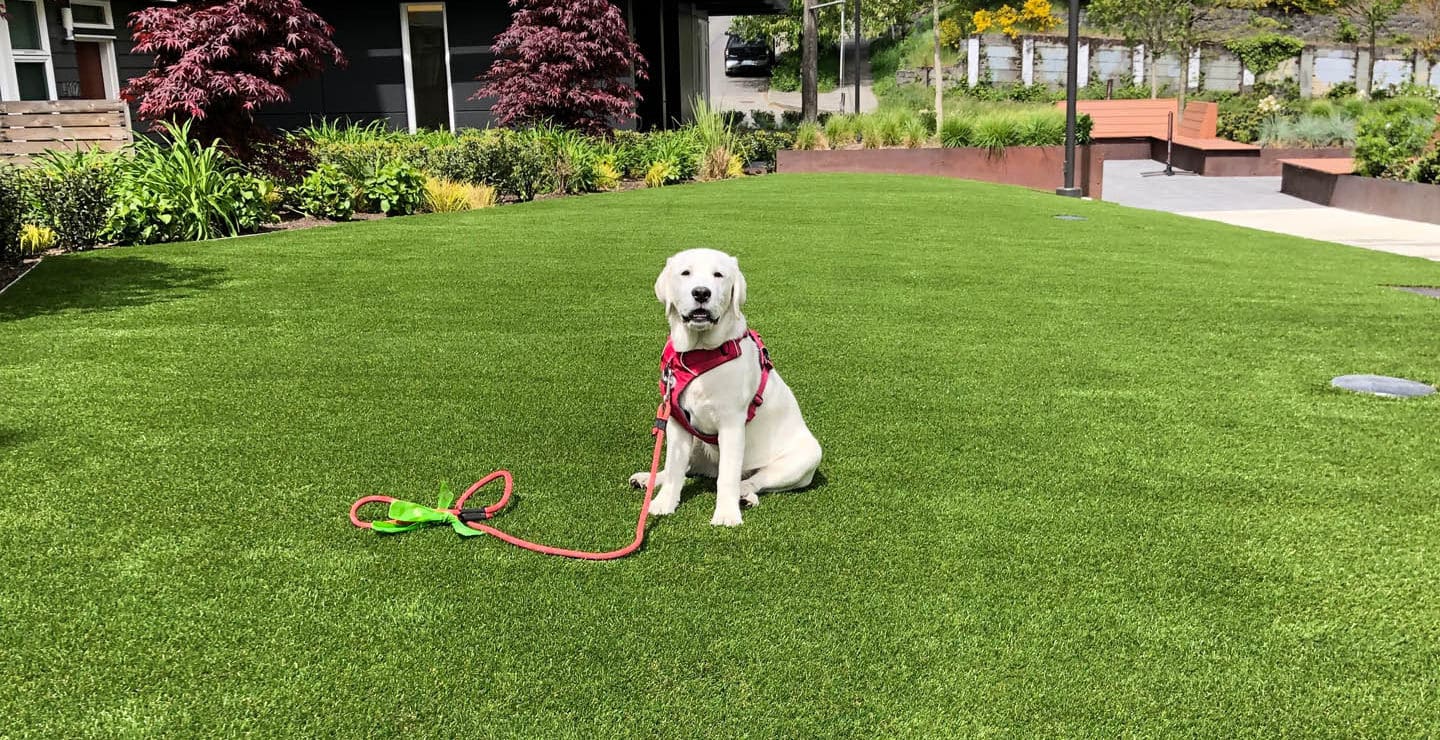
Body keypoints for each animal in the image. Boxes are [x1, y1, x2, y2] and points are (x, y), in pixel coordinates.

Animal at [627, 247, 823, 524]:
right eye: (685, 273)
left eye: (719, 275)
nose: (701, 292)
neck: (698, 355)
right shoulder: (677, 421)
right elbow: (675, 469)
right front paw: (663, 503)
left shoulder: (732, 424)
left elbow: (727, 477)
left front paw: (727, 515)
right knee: (685, 468)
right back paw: (649, 478)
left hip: (805, 457)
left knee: (753, 480)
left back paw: (745, 495)